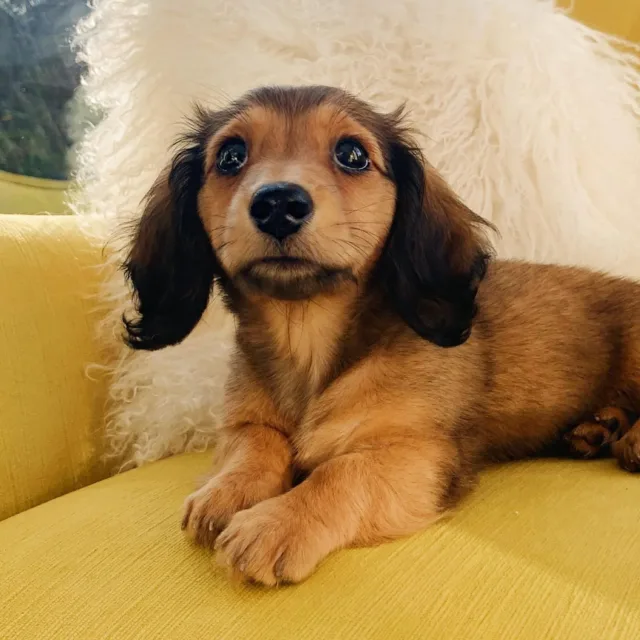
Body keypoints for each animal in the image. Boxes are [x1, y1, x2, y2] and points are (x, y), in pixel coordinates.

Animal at [122, 85, 640, 584]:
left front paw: (276, 523)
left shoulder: (417, 452)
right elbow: (257, 445)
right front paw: (227, 491)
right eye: (231, 155)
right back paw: (596, 428)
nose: (278, 205)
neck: (306, 338)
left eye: (352, 154)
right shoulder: (245, 423)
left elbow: (341, 472)